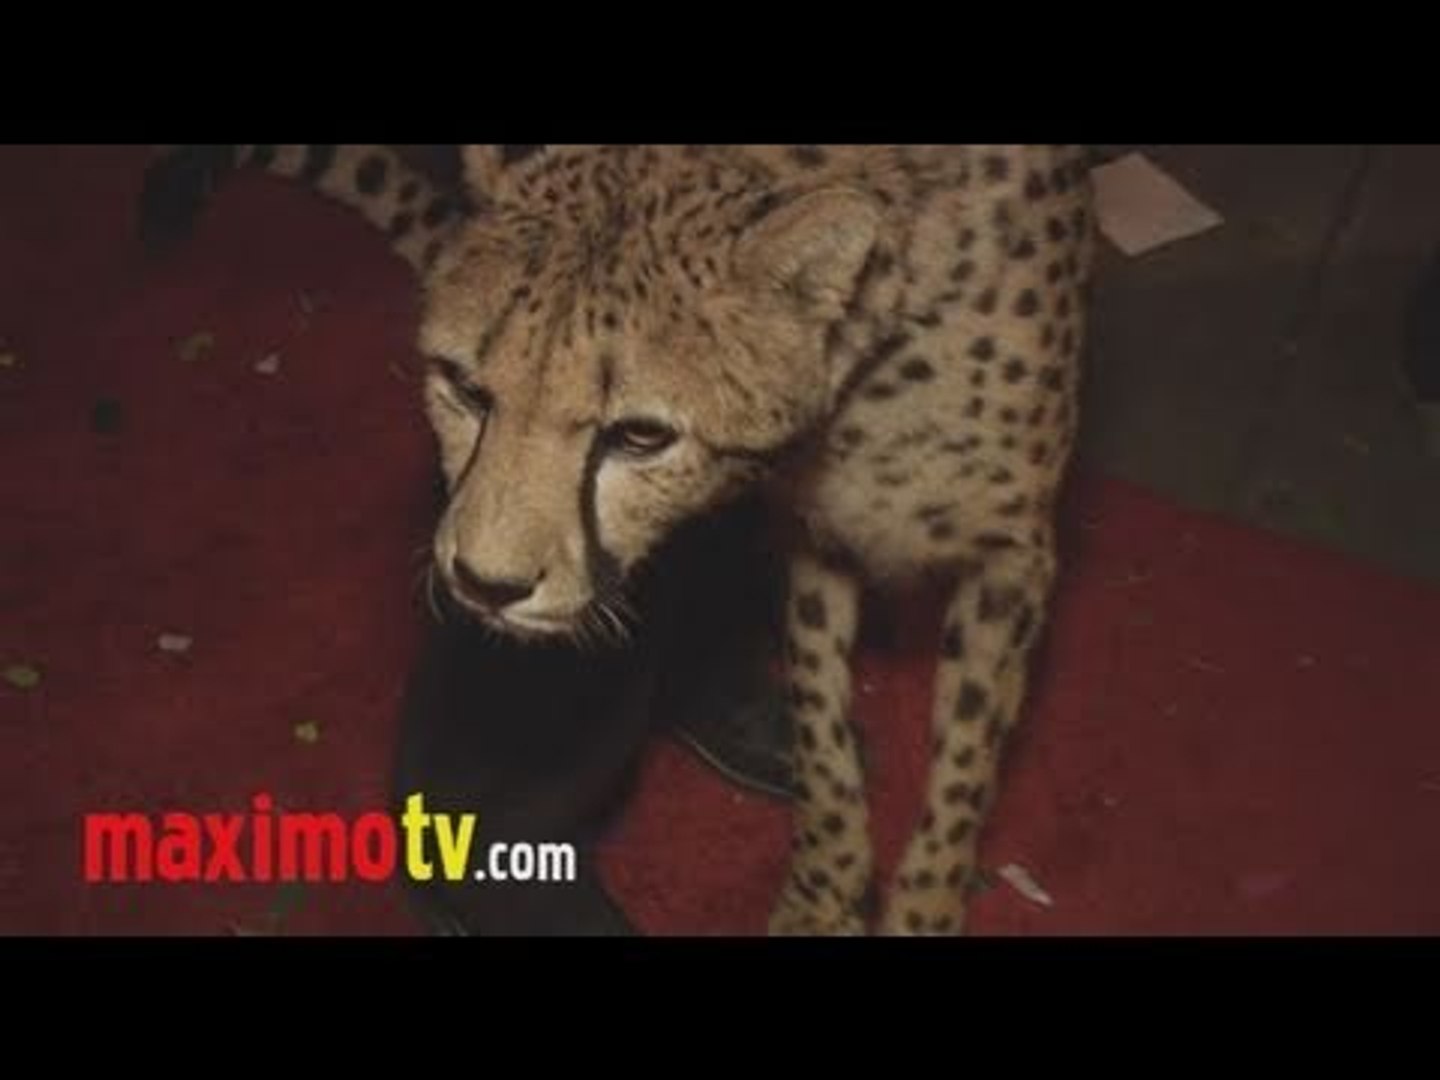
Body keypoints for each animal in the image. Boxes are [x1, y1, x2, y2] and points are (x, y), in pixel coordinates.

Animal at [141, 143, 1095, 935]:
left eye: (640, 436)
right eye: (464, 387)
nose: (484, 584)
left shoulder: (1011, 557)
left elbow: (963, 768)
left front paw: (918, 906)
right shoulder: (812, 535)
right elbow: (824, 742)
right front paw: (825, 897)